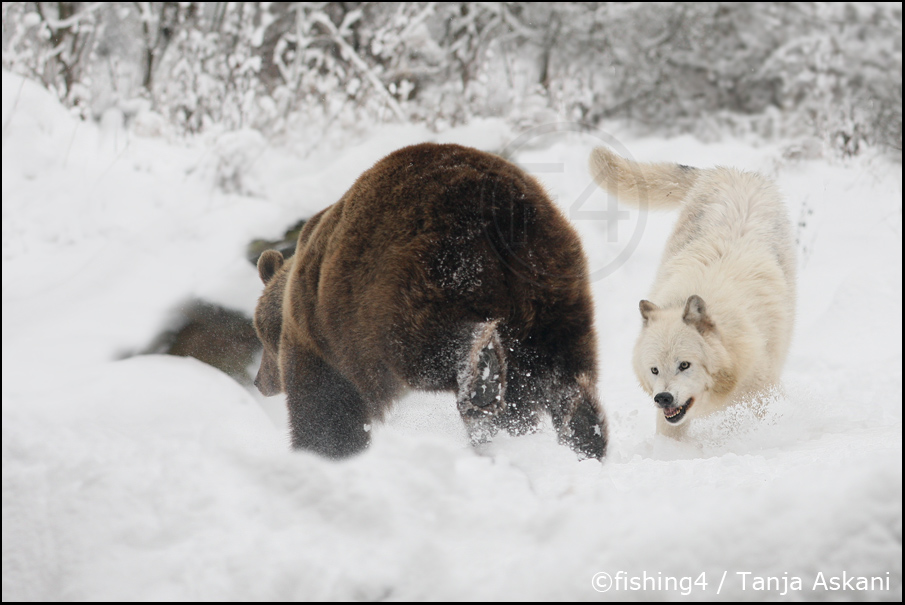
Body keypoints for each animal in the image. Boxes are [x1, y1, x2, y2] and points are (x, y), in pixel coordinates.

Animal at [254, 143, 608, 458]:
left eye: (260, 336)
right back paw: (584, 435)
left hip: (422, 272)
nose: (259, 381)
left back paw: (482, 376)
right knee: (564, 373)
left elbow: (325, 412)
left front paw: (319, 453)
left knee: (424, 345)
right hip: (552, 282)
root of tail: (505, 209)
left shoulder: (319, 337)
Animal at [588, 149, 792, 436]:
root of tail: (728, 171)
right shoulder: (670, 417)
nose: (663, 398)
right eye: (654, 370)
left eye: (684, 365)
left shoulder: (762, 395)